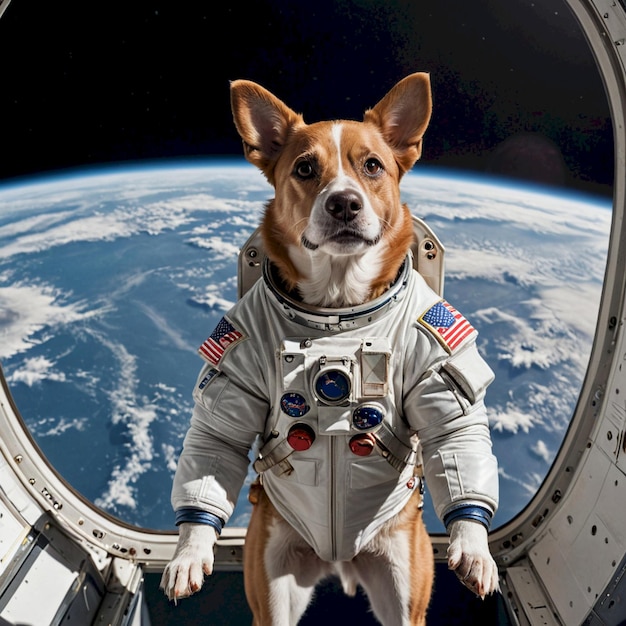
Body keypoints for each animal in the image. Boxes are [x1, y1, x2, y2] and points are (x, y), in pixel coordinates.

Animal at [160, 74, 498, 624]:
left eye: (373, 165)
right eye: (304, 168)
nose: (344, 203)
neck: (338, 310)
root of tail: (337, 557)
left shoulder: (435, 345)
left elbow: (454, 427)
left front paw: (474, 548)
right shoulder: (235, 349)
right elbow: (219, 434)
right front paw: (189, 551)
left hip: (402, 580)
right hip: (273, 573)